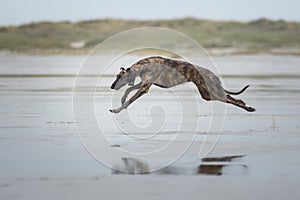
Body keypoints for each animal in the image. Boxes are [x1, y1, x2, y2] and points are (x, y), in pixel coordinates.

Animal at [109, 56, 254, 113]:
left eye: (119, 77)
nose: (111, 86)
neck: (144, 65)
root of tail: (212, 74)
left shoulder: (144, 88)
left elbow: (130, 100)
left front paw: (117, 110)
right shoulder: (144, 83)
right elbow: (128, 91)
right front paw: (122, 99)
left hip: (209, 92)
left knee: (230, 98)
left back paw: (247, 107)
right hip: (206, 93)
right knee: (229, 97)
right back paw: (246, 106)